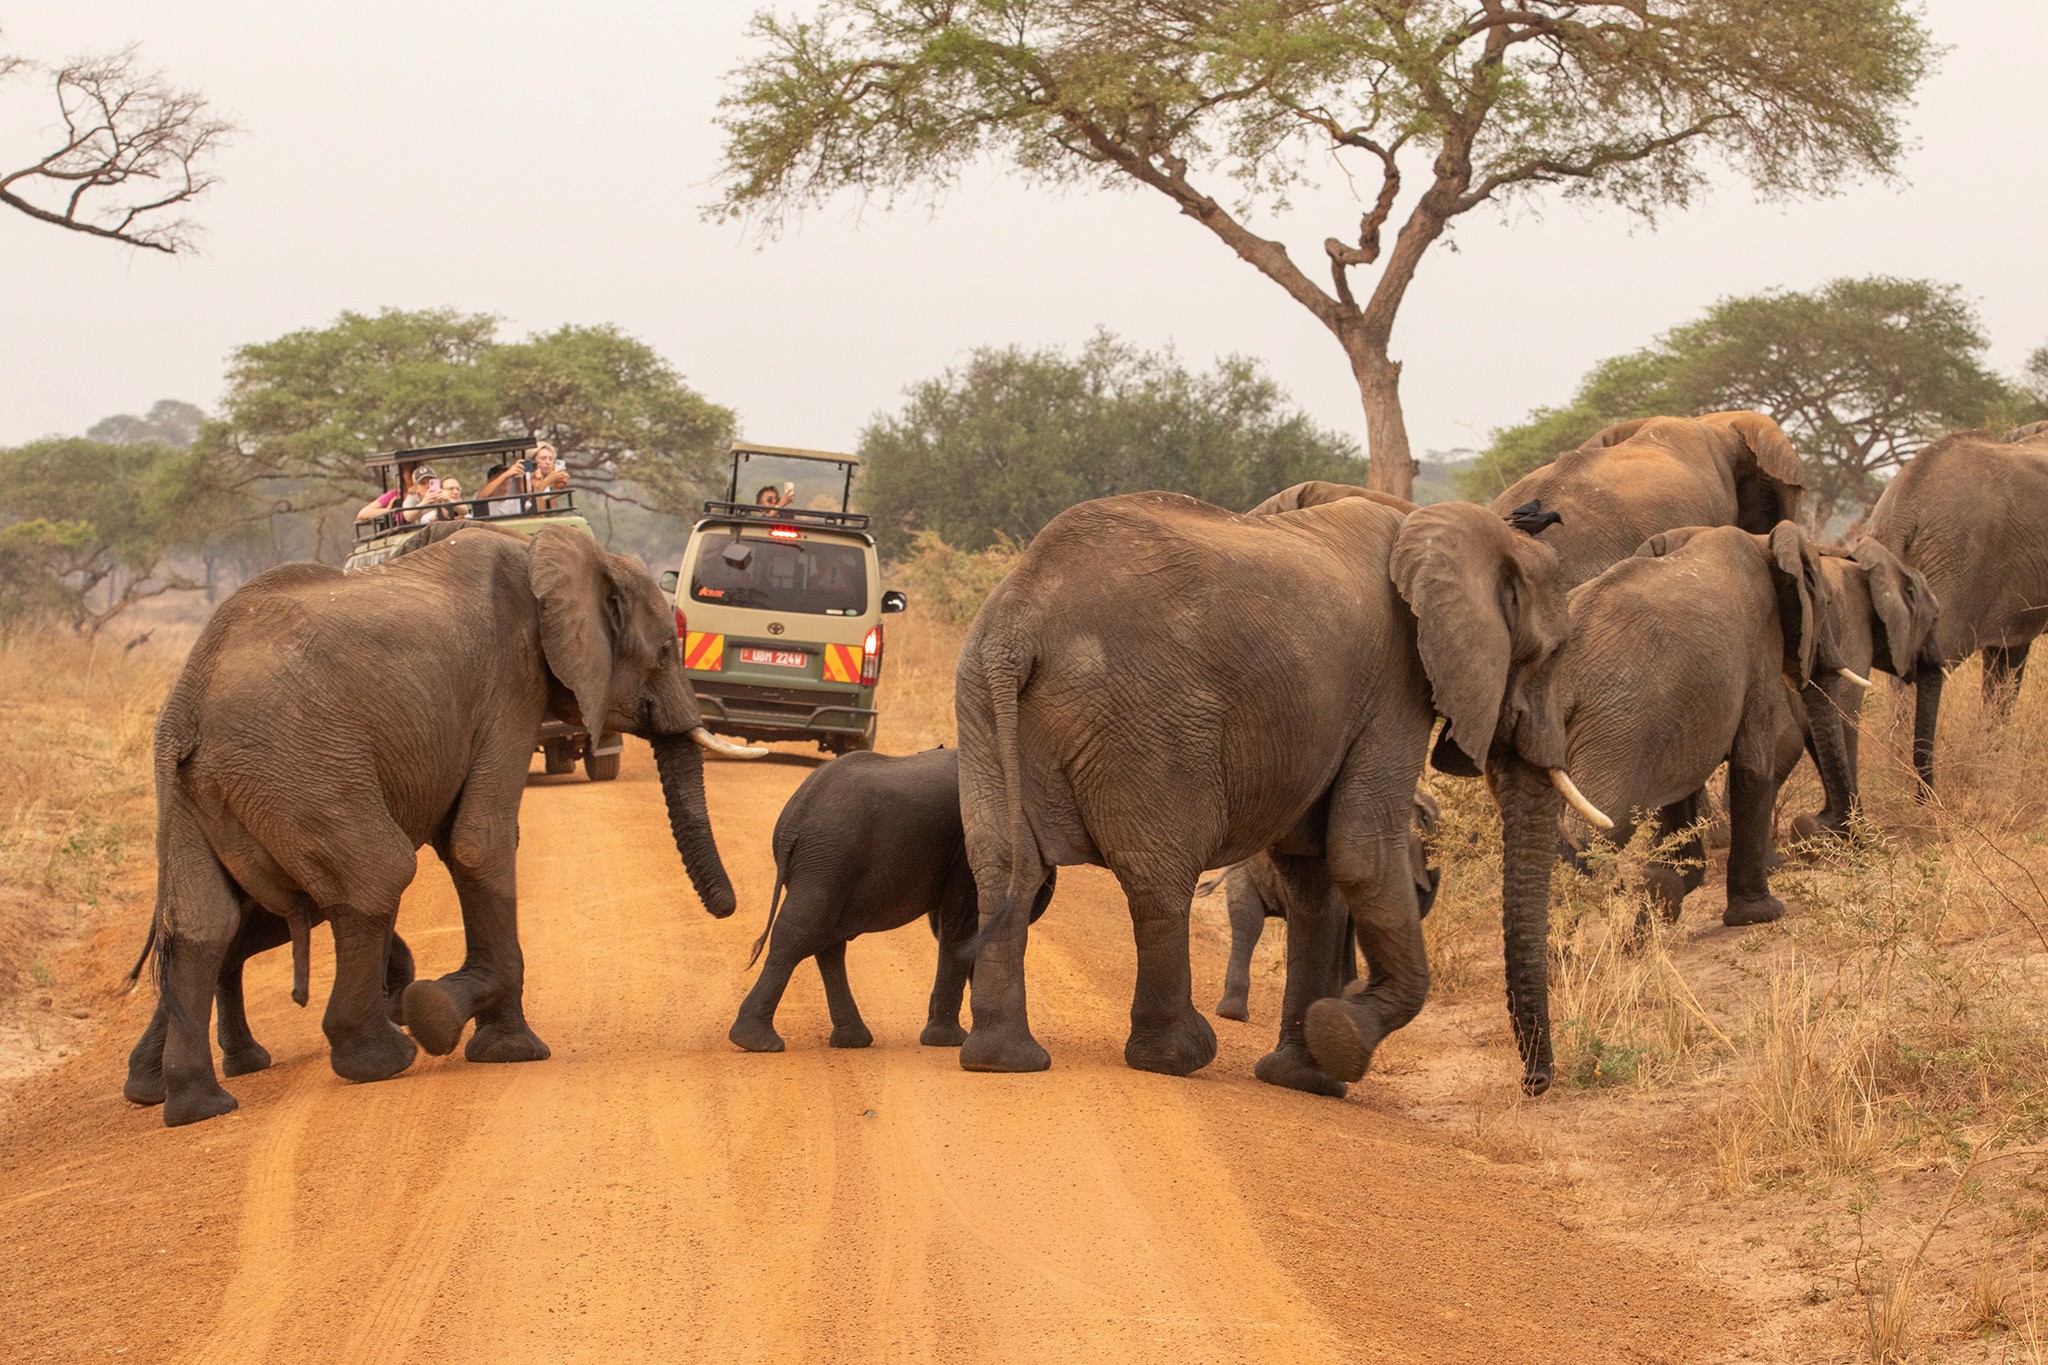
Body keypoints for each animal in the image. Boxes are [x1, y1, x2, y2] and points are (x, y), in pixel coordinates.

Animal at [128, 523, 762, 1126]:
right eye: (666, 650)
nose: (730, 910)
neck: (555, 551)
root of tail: (188, 706)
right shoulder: (511, 681)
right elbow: (480, 840)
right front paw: (494, 1042)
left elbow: (458, 837)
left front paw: (468, 1027)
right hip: (297, 767)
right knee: (377, 874)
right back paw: (379, 1059)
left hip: (191, 793)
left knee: (205, 923)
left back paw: (191, 1102)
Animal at [728, 747, 1056, 1054]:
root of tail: (793, 819)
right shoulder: (967, 845)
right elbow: (962, 922)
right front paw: (949, 1041)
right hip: (827, 860)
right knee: (799, 934)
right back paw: (756, 1041)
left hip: (827, 865)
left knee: (826, 941)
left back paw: (851, 1040)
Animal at [1484, 521, 1852, 1093]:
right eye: (1829, 601)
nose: (1816, 824)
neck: (1762, 539)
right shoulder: (1758, 649)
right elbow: (1754, 765)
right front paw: (1760, 915)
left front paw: (1674, 889)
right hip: (1614, 731)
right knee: (1593, 832)